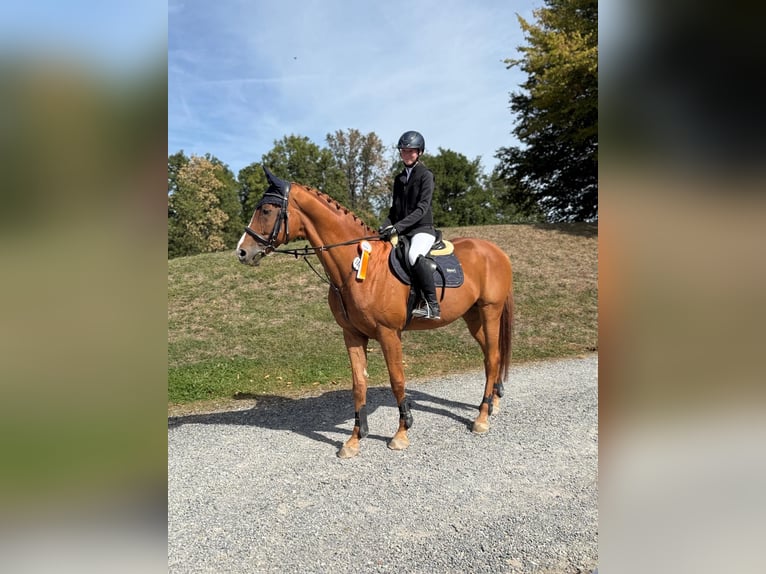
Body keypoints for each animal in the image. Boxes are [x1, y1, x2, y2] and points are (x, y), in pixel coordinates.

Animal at [236, 167, 513, 458]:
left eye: (266, 210)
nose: (242, 252)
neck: (353, 267)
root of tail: (496, 251)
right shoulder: (352, 334)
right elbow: (359, 384)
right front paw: (354, 440)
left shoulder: (389, 334)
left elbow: (397, 380)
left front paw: (401, 433)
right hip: (473, 316)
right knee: (490, 356)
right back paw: (492, 404)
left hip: (490, 311)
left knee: (493, 357)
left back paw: (482, 418)